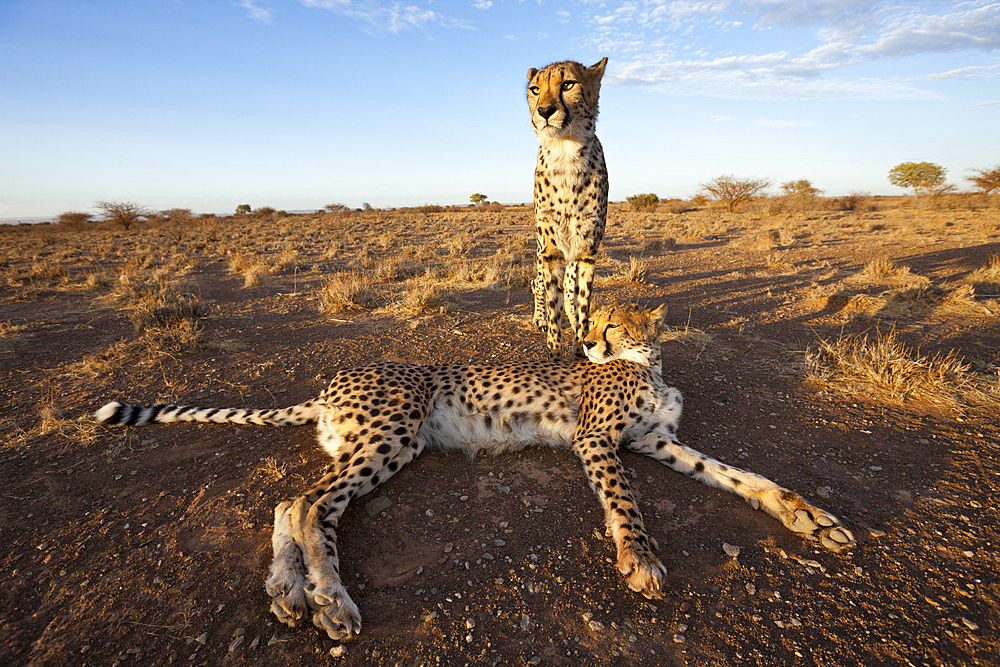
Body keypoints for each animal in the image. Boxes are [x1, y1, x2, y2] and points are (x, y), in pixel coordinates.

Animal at [97, 302, 856, 640]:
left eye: (611, 324)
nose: (586, 341)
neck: (649, 363)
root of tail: (335, 379)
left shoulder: (660, 443)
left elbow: (745, 477)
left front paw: (812, 519)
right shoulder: (599, 442)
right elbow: (628, 505)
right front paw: (639, 561)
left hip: (380, 443)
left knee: (291, 500)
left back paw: (289, 593)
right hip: (394, 432)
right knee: (312, 503)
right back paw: (331, 601)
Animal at [524, 58, 608, 360]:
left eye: (568, 84)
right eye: (535, 89)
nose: (545, 111)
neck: (566, 152)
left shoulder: (585, 253)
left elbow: (581, 305)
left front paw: (580, 350)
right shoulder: (550, 252)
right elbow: (552, 308)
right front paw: (553, 356)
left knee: (571, 292)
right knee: (537, 284)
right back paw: (538, 317)